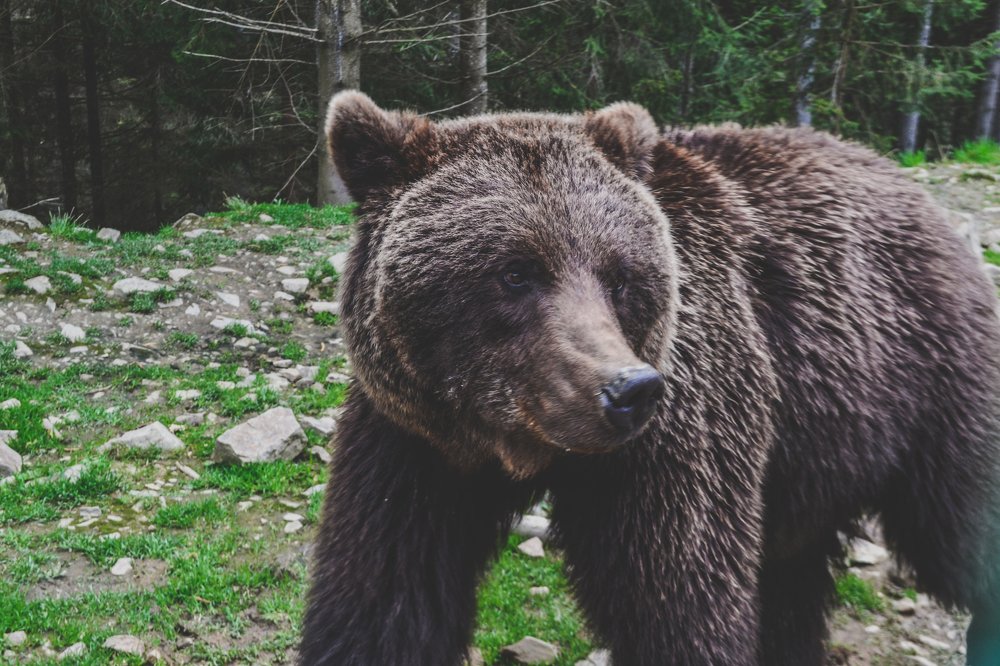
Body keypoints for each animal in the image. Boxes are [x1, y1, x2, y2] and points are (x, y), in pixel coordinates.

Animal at [299, 90, 1000, 666]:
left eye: (620, 276)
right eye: (514, 272)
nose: (628, 391)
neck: (513, 446)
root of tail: (913, 191)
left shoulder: (677, 435)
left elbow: (679, 599)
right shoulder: (413, 442)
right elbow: (385, 596)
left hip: (930, 377)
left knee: (961, 522)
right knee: (791, 582)